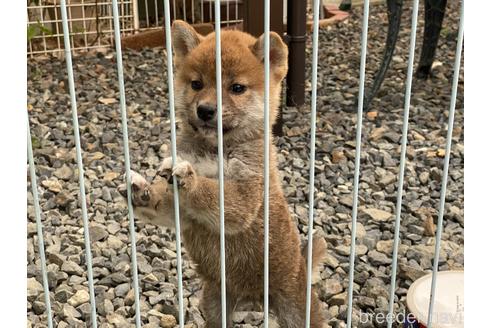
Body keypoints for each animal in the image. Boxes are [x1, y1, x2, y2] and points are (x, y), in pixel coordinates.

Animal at [118, 21, 326, 328]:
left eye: (237, 88)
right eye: (196, 84)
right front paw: (141, 193)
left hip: (296, 311)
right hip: (216, 304)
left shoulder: (245, 196)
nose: (205, 110)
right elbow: (163, 203)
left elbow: (212, 191)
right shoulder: (185, 215)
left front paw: (189, 178)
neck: (214, 150)